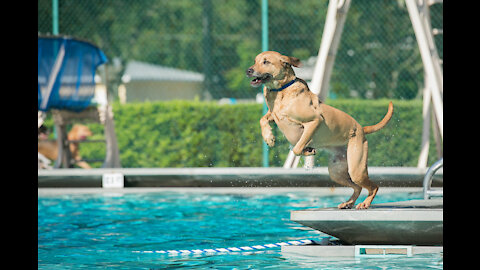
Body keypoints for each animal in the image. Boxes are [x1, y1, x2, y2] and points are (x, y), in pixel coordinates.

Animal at [248, 51, 394, 210]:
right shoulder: (273, 115)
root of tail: (361, 128)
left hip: (356, 168)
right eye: (255, 61)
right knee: (357, 187)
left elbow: (297, 148)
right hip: (337, 172)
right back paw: (348, 203)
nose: (248, 70)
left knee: (373, 187)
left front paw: (307, 150)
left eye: (266, 62)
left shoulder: (314, 121)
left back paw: (365, 203)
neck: (281, 91)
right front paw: (269, 137)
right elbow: (262, 119)